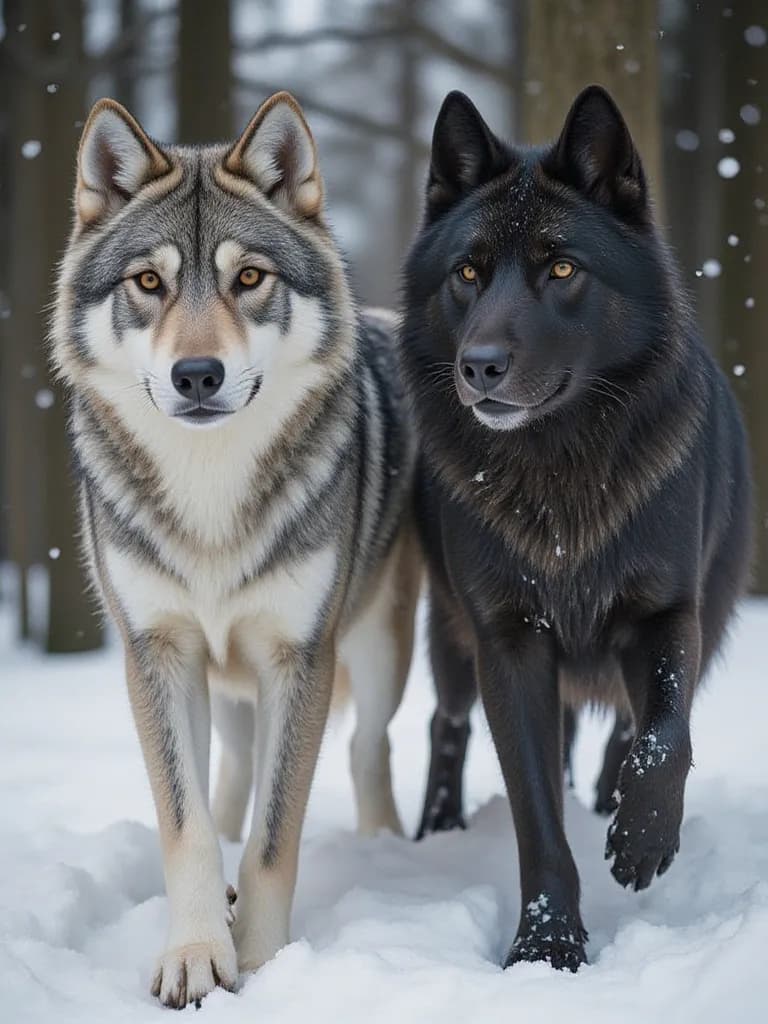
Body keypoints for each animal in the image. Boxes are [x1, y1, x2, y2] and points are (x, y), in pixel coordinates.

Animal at [51, 92, 419, 1007]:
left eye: (249, 278)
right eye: (149, 282)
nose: (197, 376)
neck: (209, 489)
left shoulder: (301, 657)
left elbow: (274, 837)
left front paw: (260, 960)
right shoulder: (157, 652)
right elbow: (183, 825)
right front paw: (194, 955)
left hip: (376, 649)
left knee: (368, 750)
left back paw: (380, 847)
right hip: (225, 677)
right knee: (229, 773)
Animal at [400, 86, 752, 971]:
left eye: (562, 268)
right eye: (467, 273)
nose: (479, 367)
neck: (560, 472)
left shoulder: (667, 614)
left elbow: (665, 736)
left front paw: (642, 837)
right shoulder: (510, 642)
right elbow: (535, 814)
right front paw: (546, 946)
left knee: (630, 723)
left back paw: (609, 802)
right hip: (453, 641)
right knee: (447, 721)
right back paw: (439, 826)